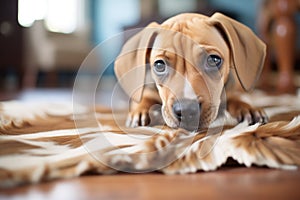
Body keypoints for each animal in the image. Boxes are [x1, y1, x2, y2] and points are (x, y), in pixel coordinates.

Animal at [114, 12, 268, 131]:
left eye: (214, 60)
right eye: (159, 65)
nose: (187, 109)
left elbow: (235, 97)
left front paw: (247, 108)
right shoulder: (148, 90)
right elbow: (144, 98)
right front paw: (139, 111)